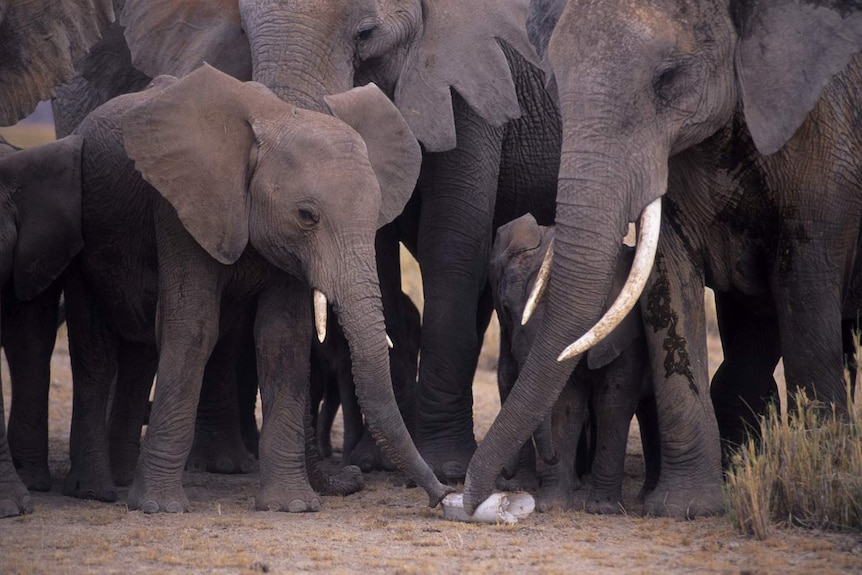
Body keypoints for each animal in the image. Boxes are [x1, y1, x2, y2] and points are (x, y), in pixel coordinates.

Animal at [72, 65, 452, 516]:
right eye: (306, 215)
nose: (443, 495)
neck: (276, 118)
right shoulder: (181, 208)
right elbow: (193, 328)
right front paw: (160, 508)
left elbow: (281, 337)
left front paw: (293, 506)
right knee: (95, 356)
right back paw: (95, 490)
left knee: (139, 355)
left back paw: (120, 478)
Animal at [121, 0, 564, 484]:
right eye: (243, 32)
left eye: (365, 34)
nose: (348, 477)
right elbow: (379, 253)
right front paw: (373, 462)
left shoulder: (472, 72)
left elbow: (451, 240)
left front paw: (448, 467)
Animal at [490, 215, 660, 512]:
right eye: (507, 310)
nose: (506, 475)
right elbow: (565, 403)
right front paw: (554, 505)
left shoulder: (628, 335)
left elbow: (613, 402)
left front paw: (602, 508)